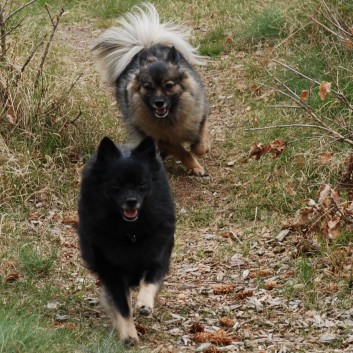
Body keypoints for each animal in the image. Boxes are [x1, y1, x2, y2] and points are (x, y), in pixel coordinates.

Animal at [78, 136, 175, 342]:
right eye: (117, 185)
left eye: (141, 184)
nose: (131, 201)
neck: (131, 232)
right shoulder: (112, 271)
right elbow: (122, 306)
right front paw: (129, 334)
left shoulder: (157, 255)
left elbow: (149, 280)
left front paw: (144, 304)